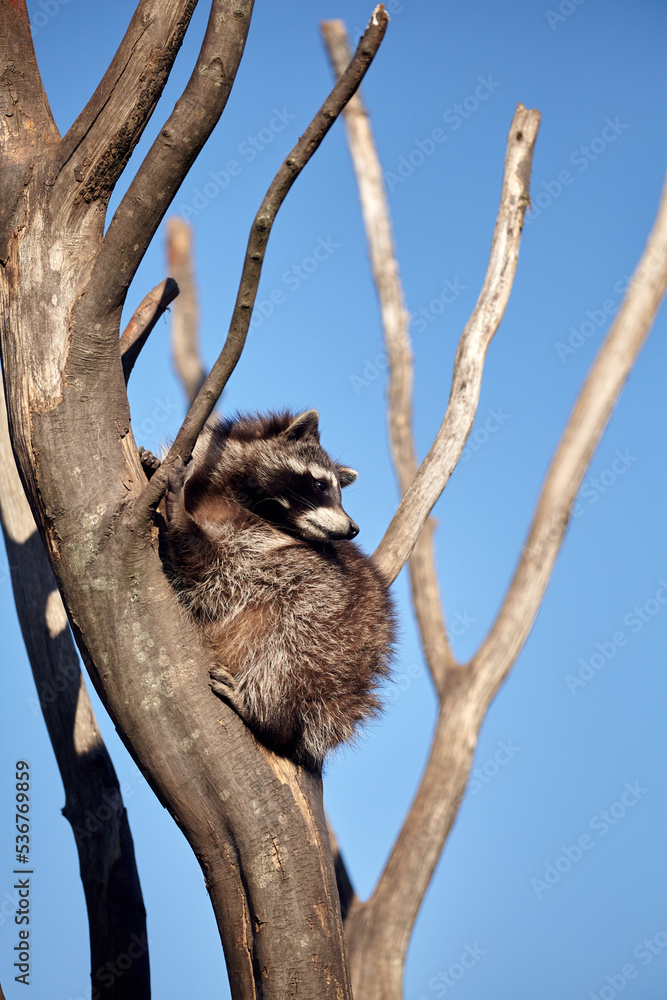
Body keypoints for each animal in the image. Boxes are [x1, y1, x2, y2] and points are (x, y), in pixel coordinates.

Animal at [163, 410, 394, 767]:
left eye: (340, 491)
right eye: (320, 484)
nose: (354, 529)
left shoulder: (260, 552)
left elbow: (210, 568)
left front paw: (180, 519)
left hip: (326, 630)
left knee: (281, 657)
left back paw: (271, 718)